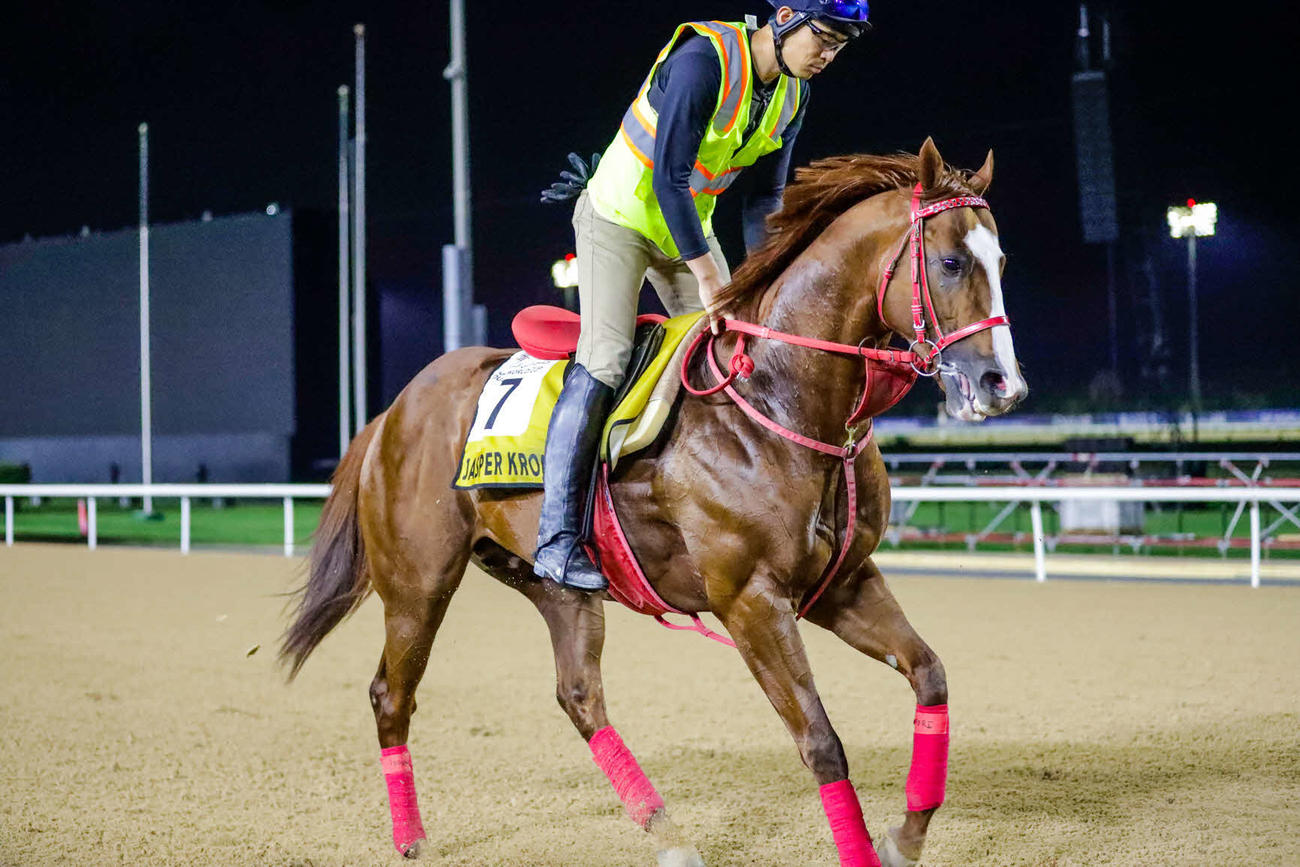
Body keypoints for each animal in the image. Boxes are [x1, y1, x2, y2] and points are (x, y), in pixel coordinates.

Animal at [281, 138, 1028, 867]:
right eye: (952, 261)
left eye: (1001, 260)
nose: (1004, 384)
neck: (777, 399)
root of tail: (394, 409)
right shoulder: (751, 601)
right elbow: (820, 741)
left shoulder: (843, 581)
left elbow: (930, 675)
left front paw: (907, 835)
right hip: (418, 581)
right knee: (392, 695)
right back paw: (411, 836)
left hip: (555, 586)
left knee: (579, 695)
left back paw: (666, 833)